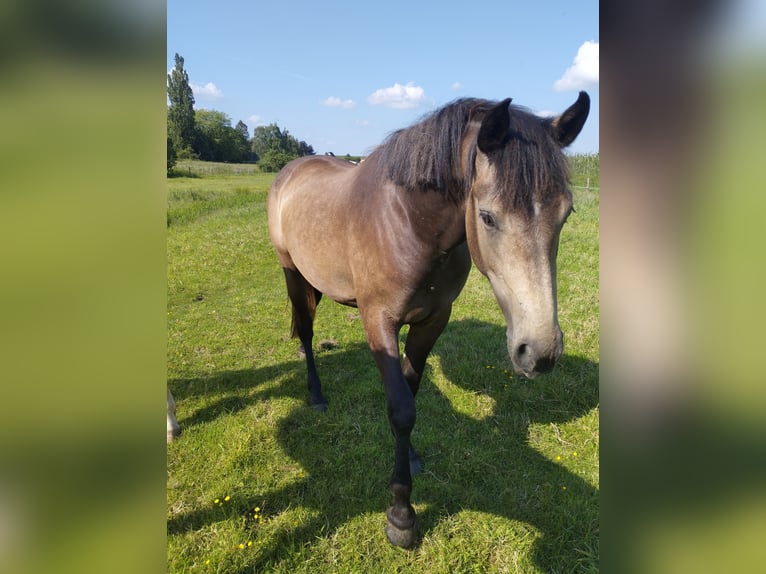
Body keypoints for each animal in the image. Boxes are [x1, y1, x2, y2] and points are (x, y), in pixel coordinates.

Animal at [268, 91, 592, 548]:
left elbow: (411, 391)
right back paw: (315, 395)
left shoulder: (433, 320)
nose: (540, 352)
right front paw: (401, 515)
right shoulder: (378, 321)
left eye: (566, 214)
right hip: (292, 273)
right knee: (308, 333)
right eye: (487, 216)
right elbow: (402, 409)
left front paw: (412, 457)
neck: (409, 223)